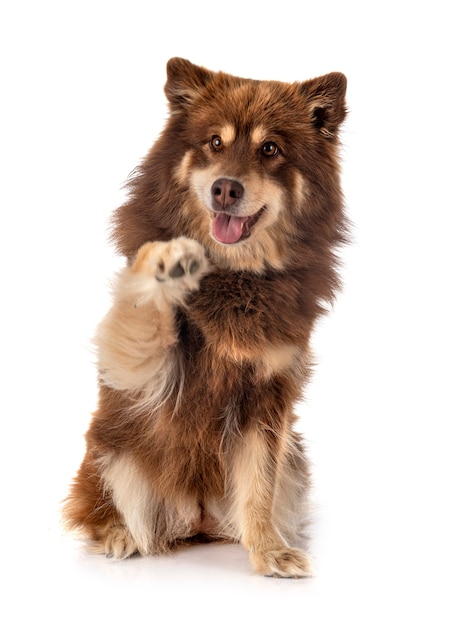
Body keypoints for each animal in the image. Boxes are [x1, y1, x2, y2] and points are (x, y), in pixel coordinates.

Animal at [63, 57, 346, 576]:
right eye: (215, 142)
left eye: (270, 149)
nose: (225, 189)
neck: (236, 277)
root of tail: (196, 519)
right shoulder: (145, 372)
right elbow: (140, 312)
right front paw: (165, 261)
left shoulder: (268, 398)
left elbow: (258, 486)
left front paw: (268, 551)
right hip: (111, 451)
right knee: (99, 507)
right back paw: (117, 533)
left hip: (295, 463)